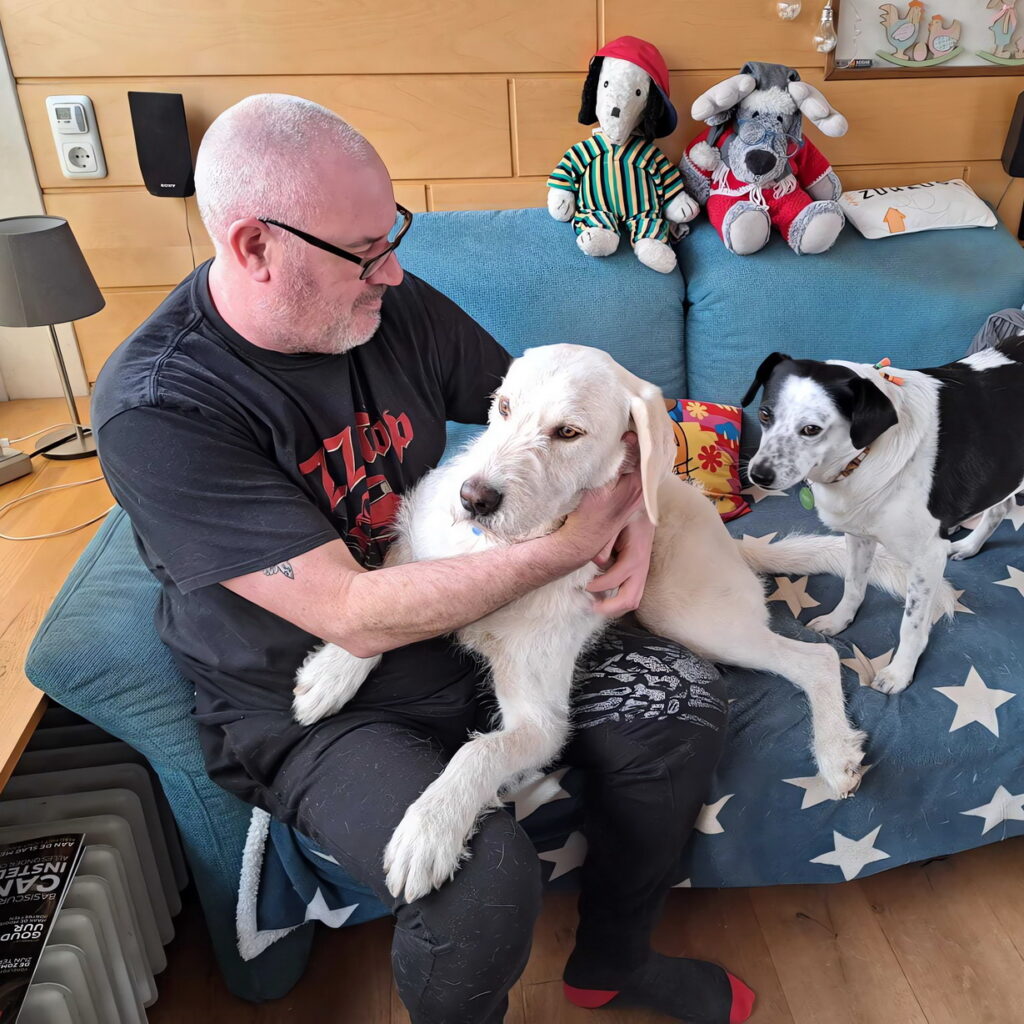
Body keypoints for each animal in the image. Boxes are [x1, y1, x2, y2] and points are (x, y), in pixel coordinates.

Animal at [293, 344, 933, 903]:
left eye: (567, 434)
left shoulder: (541, 723)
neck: (503, 553)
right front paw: (331, 673)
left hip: (684, 615)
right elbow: (378, 603)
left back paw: (835, 751)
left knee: (816, 660)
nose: (472, 498)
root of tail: (732, 541)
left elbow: (478, 754)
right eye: (503, 407)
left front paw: (430, 829)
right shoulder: (415, 548)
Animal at [743, 342, 1024, 696]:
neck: (866, 453)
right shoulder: (858, 536)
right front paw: (839, 620)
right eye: (765, 414)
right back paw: (969, 545)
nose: (759, 475)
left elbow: (911, 624)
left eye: (811, 429)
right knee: (1001, 505)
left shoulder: (927, 558)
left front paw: (899, 673)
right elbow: (853, 585)